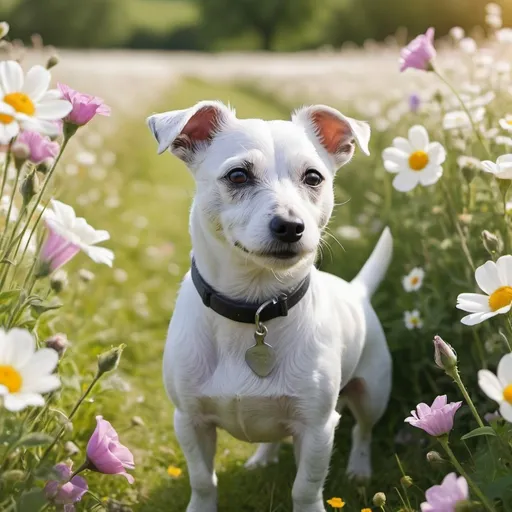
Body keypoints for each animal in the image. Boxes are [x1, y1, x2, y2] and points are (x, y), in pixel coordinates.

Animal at [146, 101, 394, 512]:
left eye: (313, 177)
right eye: (238, 175)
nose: (290, 226)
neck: (255, 308)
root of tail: (357, 291)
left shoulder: (317, 427)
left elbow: (306, 488)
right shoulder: (190, 421)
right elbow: (203, 480)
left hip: (373, 392)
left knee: (363, 431)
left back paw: (359, 469)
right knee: (274, 433)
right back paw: (263, 458)